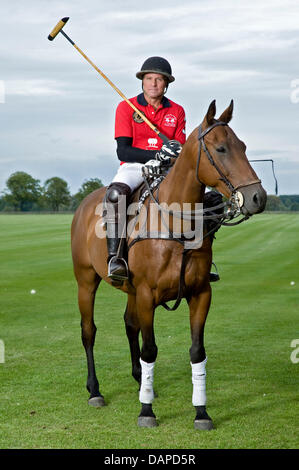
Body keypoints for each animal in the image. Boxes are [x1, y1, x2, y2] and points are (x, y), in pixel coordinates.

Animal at [71, 99, 268, 430]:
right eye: (220, 149)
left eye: (242, 145)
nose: (258, 197)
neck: (176, 225)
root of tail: (85, 202)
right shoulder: (147, 294)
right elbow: (150, 349)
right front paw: (146, 412)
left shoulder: (200, 293)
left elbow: (197, 351)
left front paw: (201, 412)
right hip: (86, 280)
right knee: (89, 330)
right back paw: (95, 391)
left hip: (130, 290)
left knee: (129, 324)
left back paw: (140, 382)